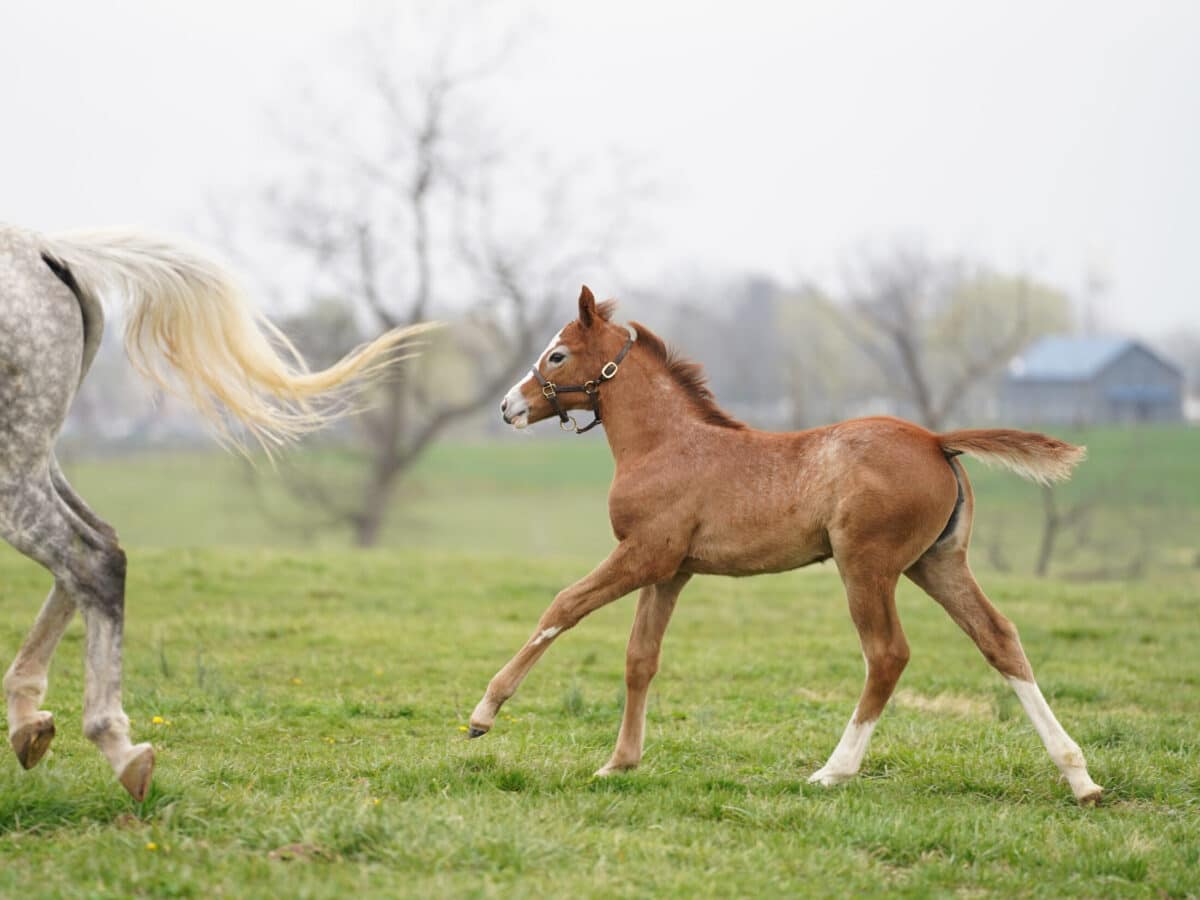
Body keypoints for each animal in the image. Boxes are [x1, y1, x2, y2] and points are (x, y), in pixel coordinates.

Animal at [0, 226, 432, 801]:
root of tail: (49, 251)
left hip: (14, 467)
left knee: (91, 557)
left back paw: (118, 749)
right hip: (36, 453)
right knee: (93, 545)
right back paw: (31, 722)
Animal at [463, 292, 1099, 806]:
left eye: (557, 356)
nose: (507, 407)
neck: (665, 443)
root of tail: (937, 440)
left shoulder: (644, 554)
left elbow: (563, 606)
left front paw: (483, 714)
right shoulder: (671, 571)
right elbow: (640, 658)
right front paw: (620, 762)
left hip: (866, 565)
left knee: (887, 654)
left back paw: (833, 771)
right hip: (936, 563)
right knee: (999, 638)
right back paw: (1079, 776)